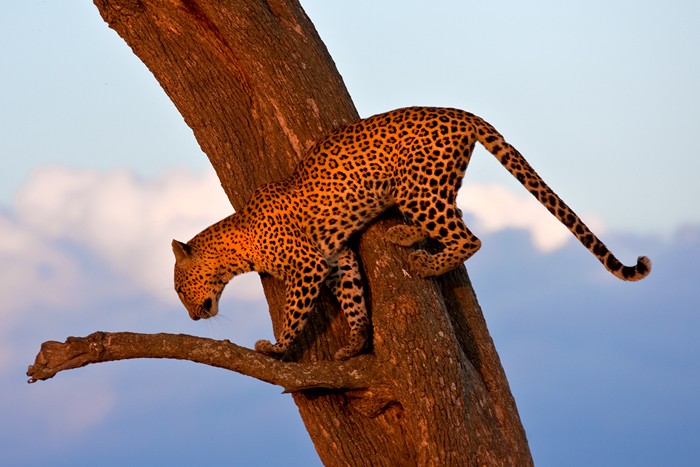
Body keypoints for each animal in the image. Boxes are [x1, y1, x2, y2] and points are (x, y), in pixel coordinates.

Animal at [171, 107, 652, 362]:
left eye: (178, 288)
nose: (191, 318)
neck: (237, 249)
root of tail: (459, 112)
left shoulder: (307, 266)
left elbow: (294, 311)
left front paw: (277, 348)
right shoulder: (337, 256)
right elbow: (352, 296)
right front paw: (356, 342)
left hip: (417, 188)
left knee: (470, 238)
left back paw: (423, 261)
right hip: (436, 186)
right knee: (458, 216)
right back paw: (405, 236)